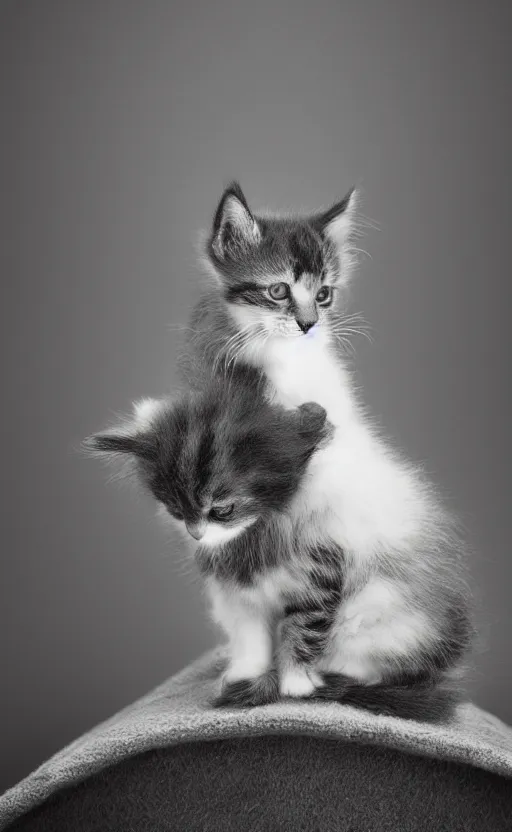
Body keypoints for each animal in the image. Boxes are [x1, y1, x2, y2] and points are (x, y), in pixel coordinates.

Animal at [86, 368, 470, 720]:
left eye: (222, 509)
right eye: (175, 510)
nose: (196, 533)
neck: (258, 532)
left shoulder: (321, 574)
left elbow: (302, 629)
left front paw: (295, 683)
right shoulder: (240, 596)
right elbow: (251, 638)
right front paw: (247, 673)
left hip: (376, 612)